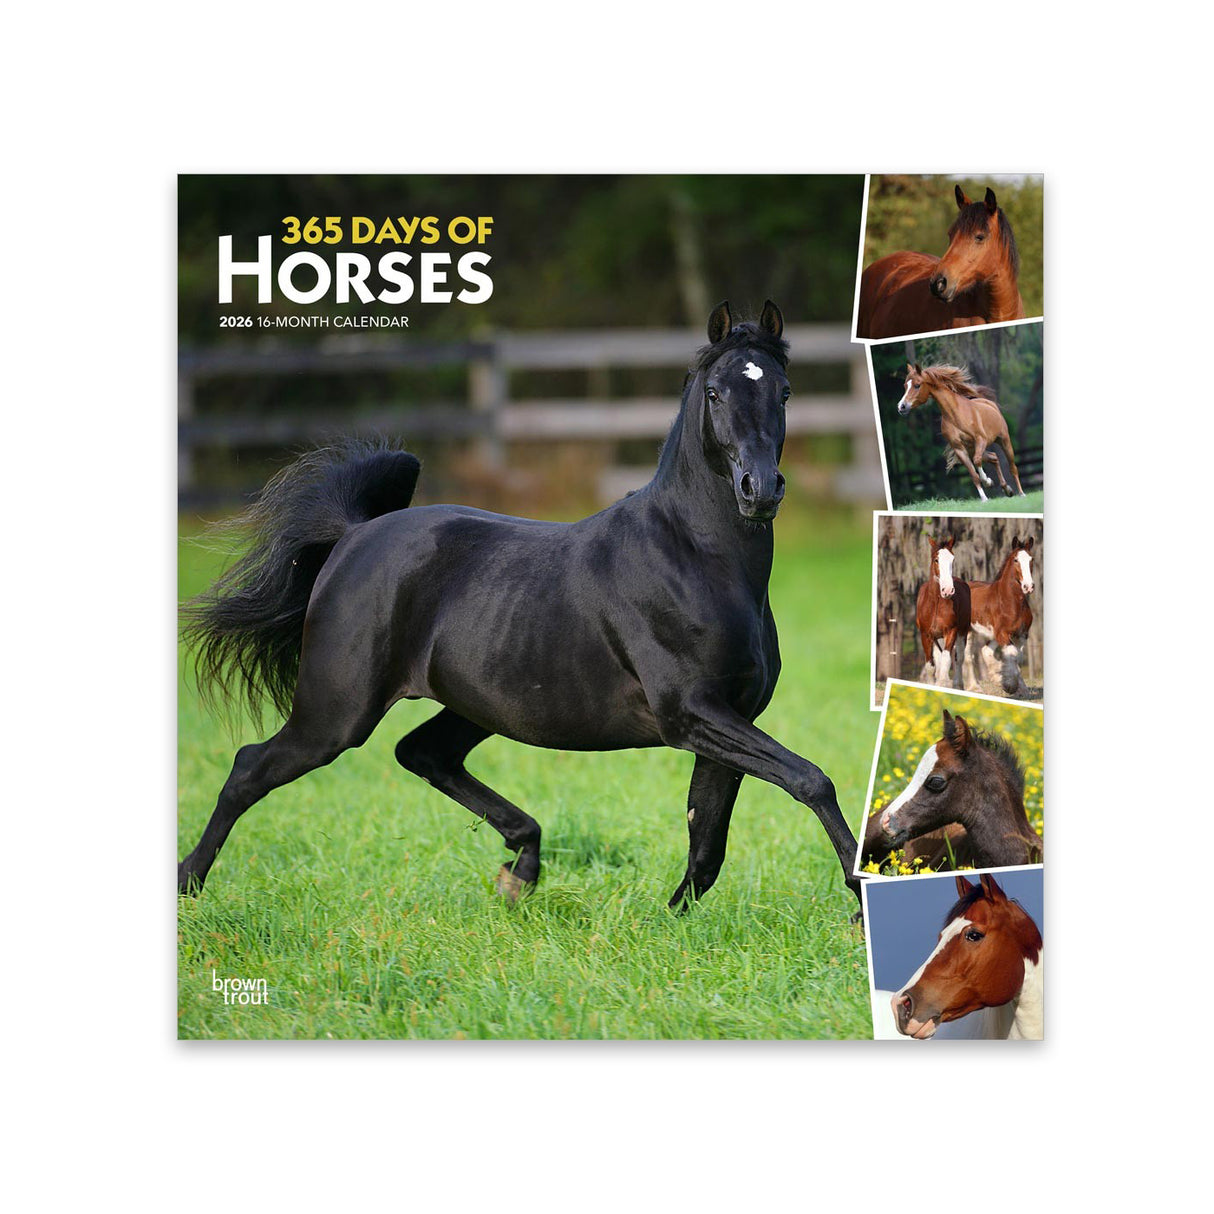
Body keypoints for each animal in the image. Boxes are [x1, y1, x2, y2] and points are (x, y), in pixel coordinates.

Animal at [178, 301, 863, 914]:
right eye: (716, 392)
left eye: (784, 391)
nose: (759, 490)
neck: (695, 557)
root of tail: (352, 536)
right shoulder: (690, 713)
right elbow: (810, 779)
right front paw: (860, 903)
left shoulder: (730, 715)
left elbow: (707, 840)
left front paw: (669, 922)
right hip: (336, 712)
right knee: (251, 767)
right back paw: (189, 883)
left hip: (477, 705)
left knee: (422, 754)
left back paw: (522, 869)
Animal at [895, 363, 1025, 502]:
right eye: (905, 386)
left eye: (917, 385)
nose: (901, 407)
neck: (956, 415)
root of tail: (990, 404)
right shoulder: (959, 449)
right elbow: (974, 475)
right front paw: (984, 497)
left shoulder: (981, 439)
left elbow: (977, 461)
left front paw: (987, 481)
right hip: (972, 449)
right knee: (994, 457)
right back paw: (1007, 489)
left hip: (1004, 441)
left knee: (1012, 467)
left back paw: (1021, 493)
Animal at [915, 535, 970, 689]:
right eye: (936, 560)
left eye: (953, 559)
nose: (948, 590)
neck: (936, 603)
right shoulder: (926, 634)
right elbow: (930, 665)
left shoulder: (951, 631)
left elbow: (947, 660)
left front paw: (942, 684)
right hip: (936, 638)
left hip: (962, 631)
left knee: (959, 658)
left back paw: (958, 684)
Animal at [966, 536, 1035, 697]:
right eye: (1016, 560)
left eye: (1031, 559)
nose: (1028, 586)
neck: (1011, 602)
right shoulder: (1003, 633)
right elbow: (1012, 654)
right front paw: (1009, 685)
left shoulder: (1022, 635)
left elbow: (1018, 658)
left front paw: (1021, 689)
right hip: (968, 631)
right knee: (969, 656)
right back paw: (975, 687)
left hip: (993, 634)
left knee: (985, 650)